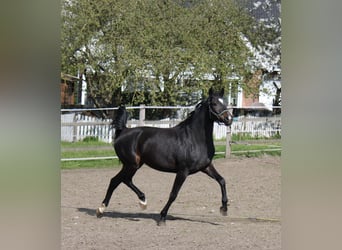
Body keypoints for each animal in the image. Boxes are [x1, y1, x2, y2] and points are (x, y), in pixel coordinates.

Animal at [96, 87, 232, 225]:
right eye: (214, 103)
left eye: (225, 102)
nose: (229, 119)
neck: (194, 138)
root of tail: (123, 131)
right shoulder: (183, 171)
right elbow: (173, 194)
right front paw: (162, 217)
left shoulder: (206, 167)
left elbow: (222, 180)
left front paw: (224, 208)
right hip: (131, 165)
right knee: (118, 180)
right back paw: (106, 208)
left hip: (135, 165)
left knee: (121, 180)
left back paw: (135, 203)